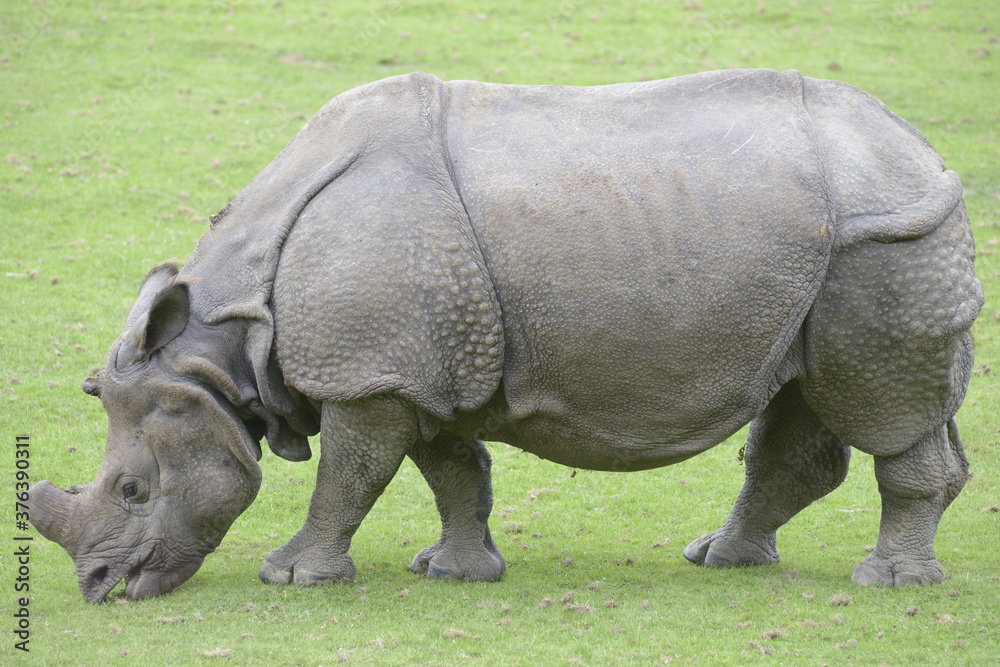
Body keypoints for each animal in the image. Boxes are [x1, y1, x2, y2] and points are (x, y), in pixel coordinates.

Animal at [29, 69, 983, 602]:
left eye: (131, 491)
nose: (100, 588)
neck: (224, 344)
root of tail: (924, 152)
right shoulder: (419, 365)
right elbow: (450, 468)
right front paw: (454, 572)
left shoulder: (371, 371)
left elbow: (350, 474)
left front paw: (292, 577)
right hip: (836, 252)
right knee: (805, 399)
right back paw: (724, 560)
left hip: (886, 240)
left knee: (881, 406)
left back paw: (888, 584)